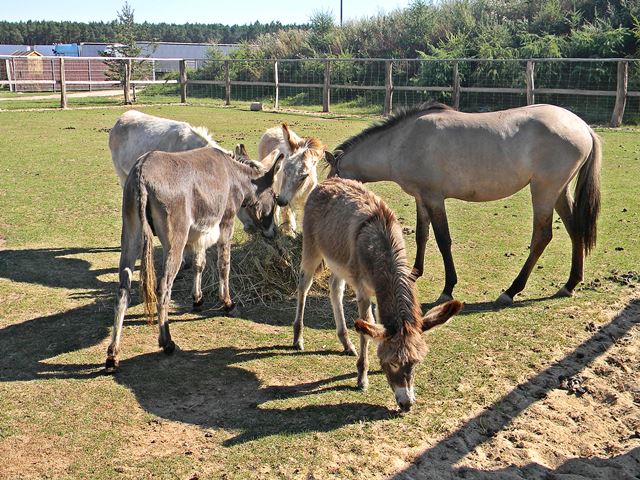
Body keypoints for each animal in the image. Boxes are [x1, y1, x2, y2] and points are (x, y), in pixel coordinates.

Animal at [105, 144, 282, 370]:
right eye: (275, 197)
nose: (273, 233)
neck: (234, 174)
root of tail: (141, 172)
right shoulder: (226, 223)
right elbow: (224, 264)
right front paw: (227, 303)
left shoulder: (199, 233)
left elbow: (199, 263)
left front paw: (197, 299)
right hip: (175, 241)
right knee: (163, 288)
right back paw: (167, 342)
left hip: (131, 234)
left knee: (123, 290)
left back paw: (113, 355)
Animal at [292, 178, 462, 410]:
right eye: (393, 364)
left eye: (415, 363)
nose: (407, 404)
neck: (382, 245)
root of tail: (329, 181)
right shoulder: (363, 291)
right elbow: (366, 327)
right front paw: (362, 378)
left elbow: (373, 325)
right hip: (312, 249)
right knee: (304, 285)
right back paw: (298, 338)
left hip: (340, 265)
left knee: (335, 289)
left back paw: (346, 343)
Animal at [328, 102, 604, 304]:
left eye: (334, 176)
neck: (402, 141)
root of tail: (583, 127)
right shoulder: (421, 197)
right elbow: (421, 235)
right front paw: (414, 272)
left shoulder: (434, 198)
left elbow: (443, 241)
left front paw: (448, 288)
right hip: (559, 192)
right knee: (575, 229)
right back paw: (569, 284)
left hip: (544, 191)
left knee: (542, 237)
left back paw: (511, 291)